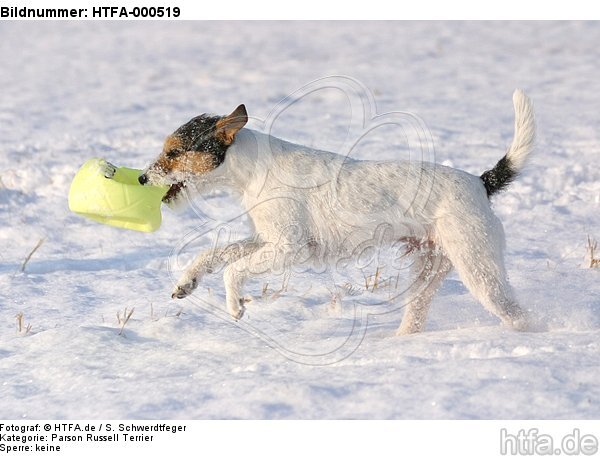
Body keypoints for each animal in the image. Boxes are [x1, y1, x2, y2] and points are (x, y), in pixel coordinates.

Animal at [139, 91, 536, 334]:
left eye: (174, 152)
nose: (142, 178)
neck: (251, 169)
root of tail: (480, 182)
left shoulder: (290, 249)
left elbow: (232, 270)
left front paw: (235, 305)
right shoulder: (266, 239)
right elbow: (214, 255)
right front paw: (186, 282)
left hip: (479, 270)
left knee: (518, 314)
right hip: (429, 271)